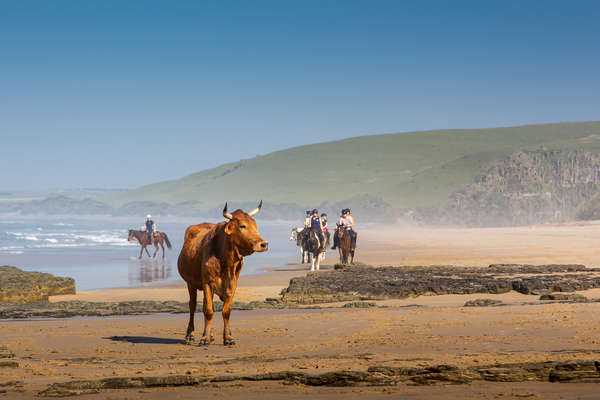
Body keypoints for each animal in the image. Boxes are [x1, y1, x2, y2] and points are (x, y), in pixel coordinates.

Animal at [177, 202, 268, 346]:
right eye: (242, 226)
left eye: (255, 225)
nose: (264, 244)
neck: (226, 260)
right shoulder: (207, 282)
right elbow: (209, 311)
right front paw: (204, 339)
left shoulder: (233, 284)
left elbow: (225, 311)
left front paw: (228, 337)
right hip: (190, 283)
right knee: (193, 306)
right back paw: (190, 335)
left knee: (204, 305)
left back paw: (210, 334)